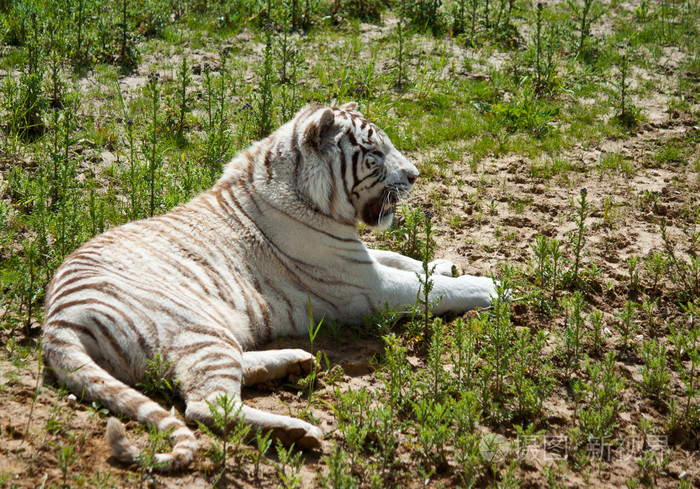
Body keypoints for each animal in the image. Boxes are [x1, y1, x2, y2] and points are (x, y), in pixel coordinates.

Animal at [41, 102, 498, 468]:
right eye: (373, 154)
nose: (415, 176)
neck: (306, 194)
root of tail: (57, 318)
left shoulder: (360, 257)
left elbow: (404, 260)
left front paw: (445, 264)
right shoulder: (366, 283)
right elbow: (427, 287)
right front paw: (493, 287)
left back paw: (296, 360)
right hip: (198, 327)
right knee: (205, 407)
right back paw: (298, 431)